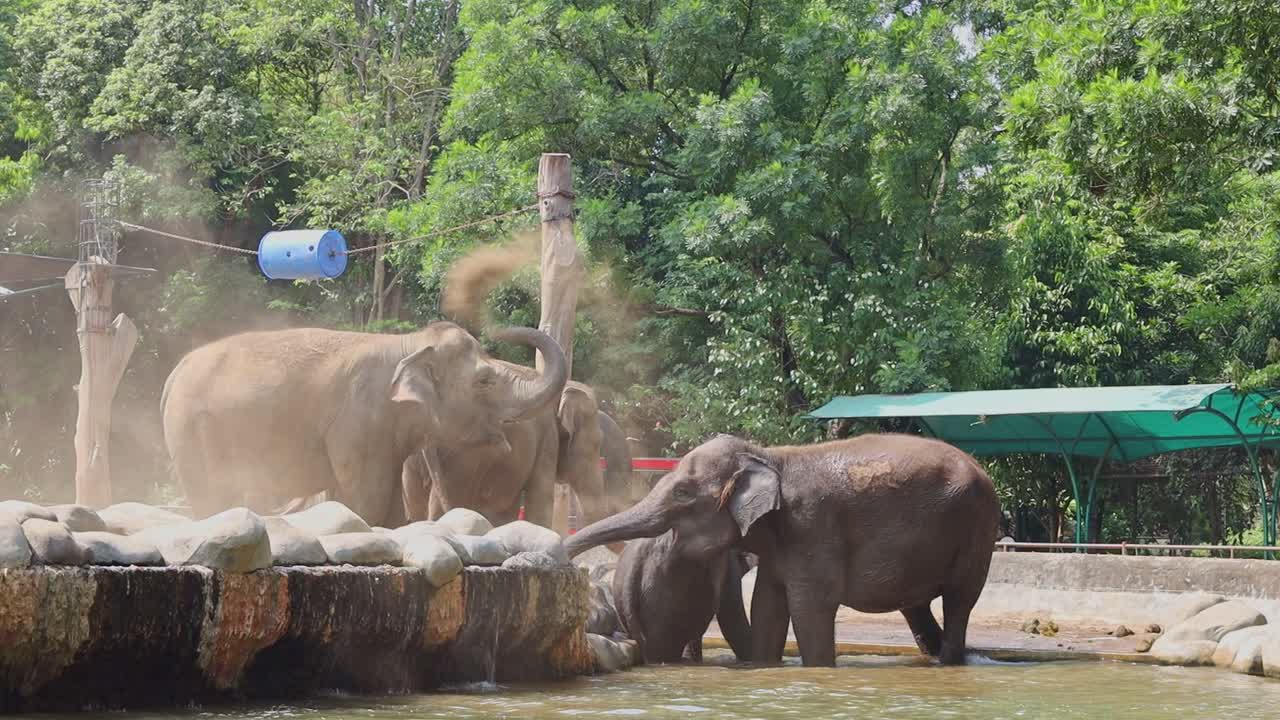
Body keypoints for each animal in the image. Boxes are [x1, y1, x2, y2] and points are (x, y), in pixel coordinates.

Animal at [161, 322, 567, 527]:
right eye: (484, 380)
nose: (499, 330)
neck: (408, 345)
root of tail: (174, 373)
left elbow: (389, 509)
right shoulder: (359, 422)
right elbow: (364, 502)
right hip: (191, 434)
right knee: (212, 498)